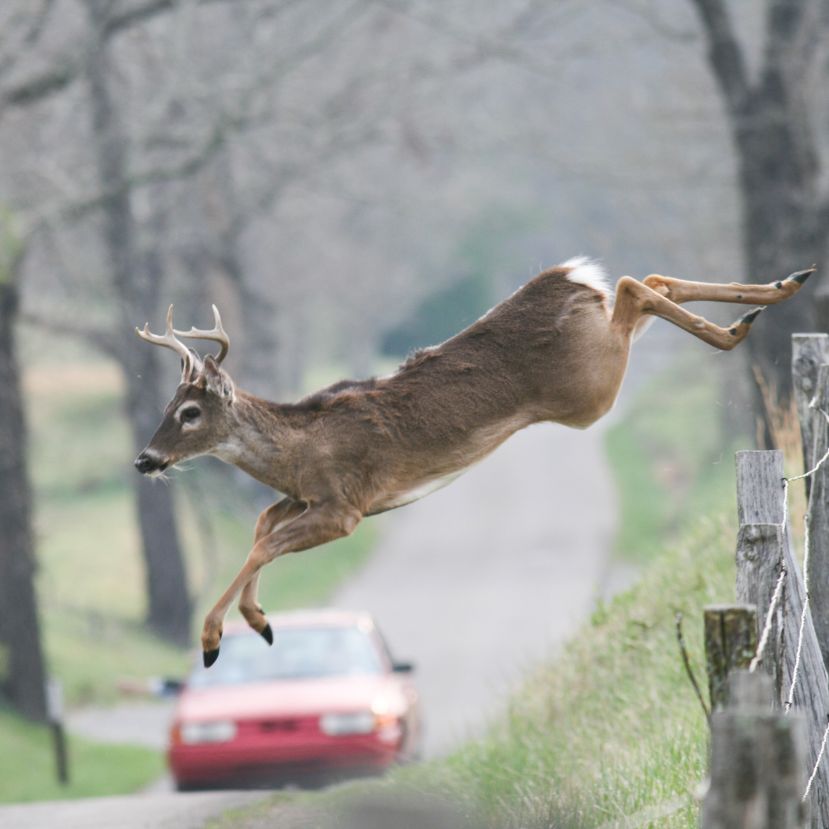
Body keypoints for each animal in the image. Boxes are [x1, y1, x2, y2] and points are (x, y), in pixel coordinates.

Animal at [136, 258, 816, 668]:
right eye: (167, 405)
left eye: (189, 412)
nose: (145, 459)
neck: (298, 450)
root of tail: (569, 277)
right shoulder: (307, 498)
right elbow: (261, 527)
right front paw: (259, 620)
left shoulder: (345, 506)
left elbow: (263, 542)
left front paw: (214, 639)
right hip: (599, 364)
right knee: (648, 281)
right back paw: (779, 290)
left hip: (591, 389)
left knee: (633, 286)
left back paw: (743, 322)